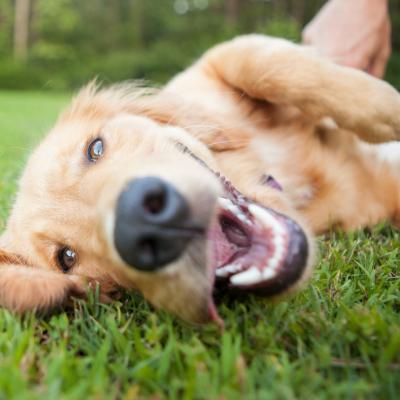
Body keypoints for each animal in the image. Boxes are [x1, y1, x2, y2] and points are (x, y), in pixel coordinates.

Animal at [0, 35, 400, 324]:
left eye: (94, 149)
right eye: (66, 258)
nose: (143, 221)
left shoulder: (213, 65)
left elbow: (262, 62)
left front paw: (385, 110)